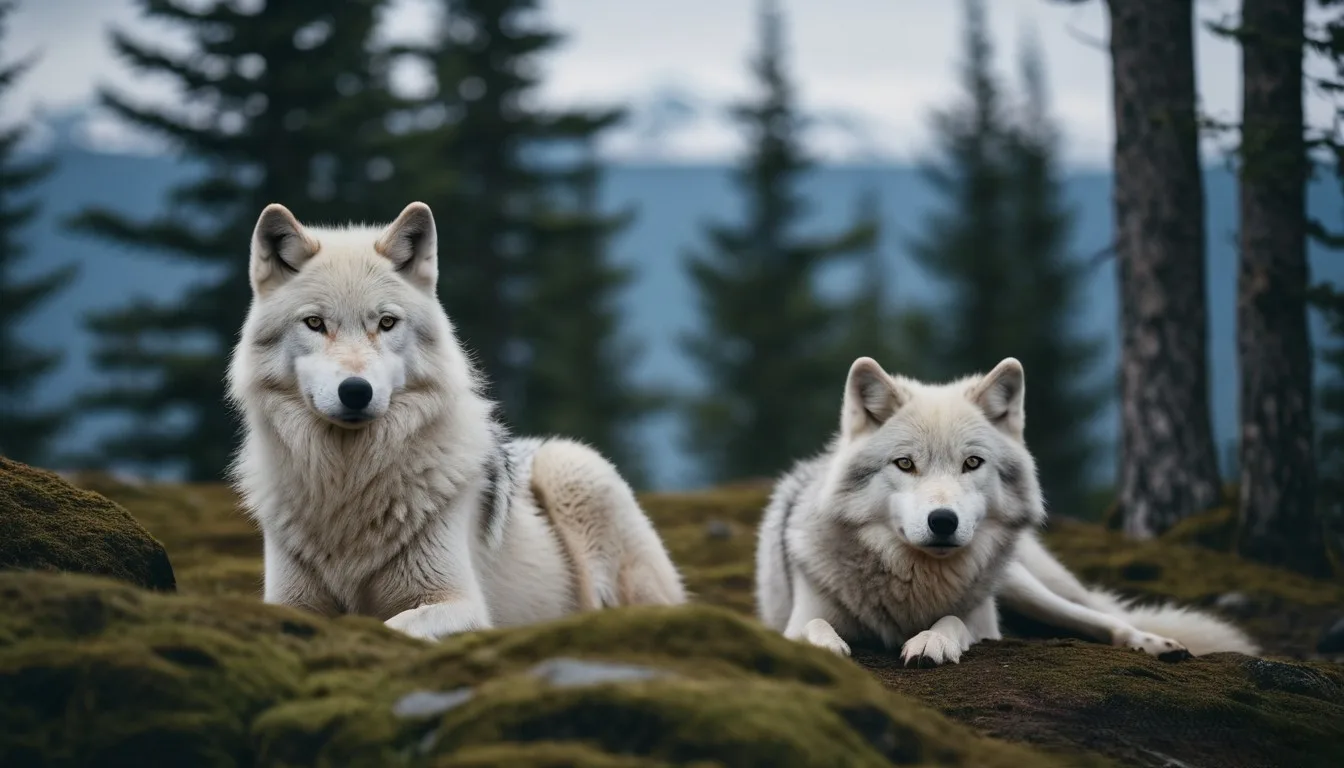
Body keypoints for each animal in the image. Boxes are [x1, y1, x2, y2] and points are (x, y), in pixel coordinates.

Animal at [225, 201, 686, 641]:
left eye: (387, 322)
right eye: (315, 323)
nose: (356, 391)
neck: (348, 484)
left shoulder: (461, 602)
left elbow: (398, 625)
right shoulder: (289, 601)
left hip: (572, 471)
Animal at [755, 356, 1259, 666]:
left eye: (972, 463)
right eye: (905, 464)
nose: (944, 521)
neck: (915, 583)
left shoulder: (983, 621)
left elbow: (955, 620)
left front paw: (932, 640)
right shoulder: (798, 617)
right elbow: (815, 625)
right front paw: (826, 647)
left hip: (1023, 587)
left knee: (1101, 619)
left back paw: (1156, 644)